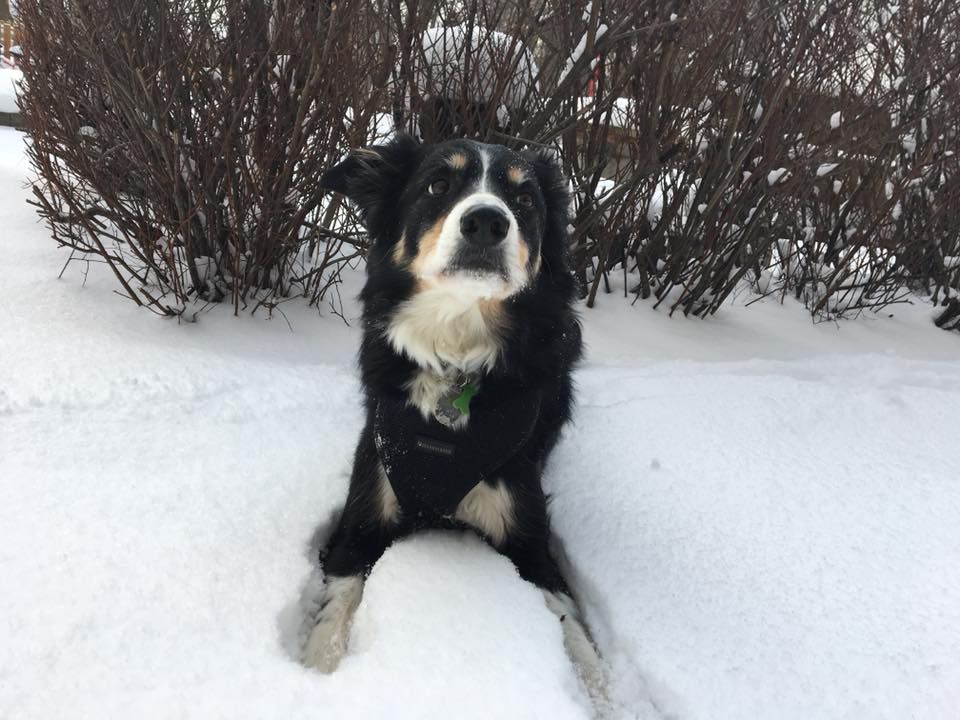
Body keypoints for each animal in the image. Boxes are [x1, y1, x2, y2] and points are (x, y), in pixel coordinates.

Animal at [304, 134, 604, 692]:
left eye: (525, 198)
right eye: (438, 185)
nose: (487, 221)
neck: (457, 354)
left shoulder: (528, 534)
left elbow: (569, 621)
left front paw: (602, 690)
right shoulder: (363, 513)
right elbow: (335, 608)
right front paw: (314, 671)